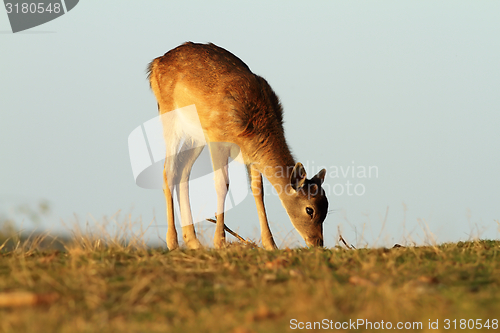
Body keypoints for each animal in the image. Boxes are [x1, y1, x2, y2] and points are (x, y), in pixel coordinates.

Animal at [147, 42, 328, 249]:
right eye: (309, 210)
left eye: (327, 207)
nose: (318, 242)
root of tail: (155, 64)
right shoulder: (217, 139)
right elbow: (222, 183)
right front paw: (219, 242)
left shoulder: (251, 156)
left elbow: (258, 190)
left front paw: (270, 245)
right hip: (170, 116)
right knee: (168, 170)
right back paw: (173, 242)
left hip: (196, 136)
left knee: (183, 170)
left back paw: (193, 241)